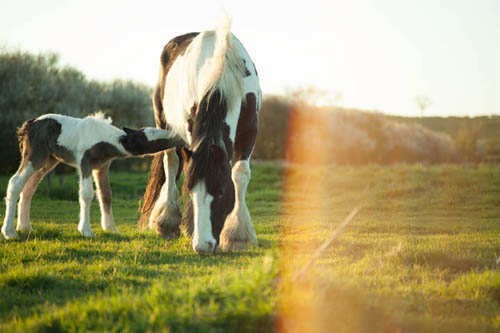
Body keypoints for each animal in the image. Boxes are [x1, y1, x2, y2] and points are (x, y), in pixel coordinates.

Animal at [2, 111, 182, 239]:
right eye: (151, 140)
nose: (179, 139)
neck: (105, 138)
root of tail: (29, 125)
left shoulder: (101, 167)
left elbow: (106, 195)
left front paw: (111, 229)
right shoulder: (85, 162)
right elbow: (87, 194)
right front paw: (86, 231)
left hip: (48, 160)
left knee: (28, 188)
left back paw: (25, 227)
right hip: (34, 156)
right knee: (15, 182)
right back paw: (10, 232)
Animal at [139, 16, 260, 253]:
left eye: (221, 191)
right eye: (192, 191)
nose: (203, 245)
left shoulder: (250, 130)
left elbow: (240, 173)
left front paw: (237, 236)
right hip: (165, 124)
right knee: (171, 163)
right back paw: (168, 222)